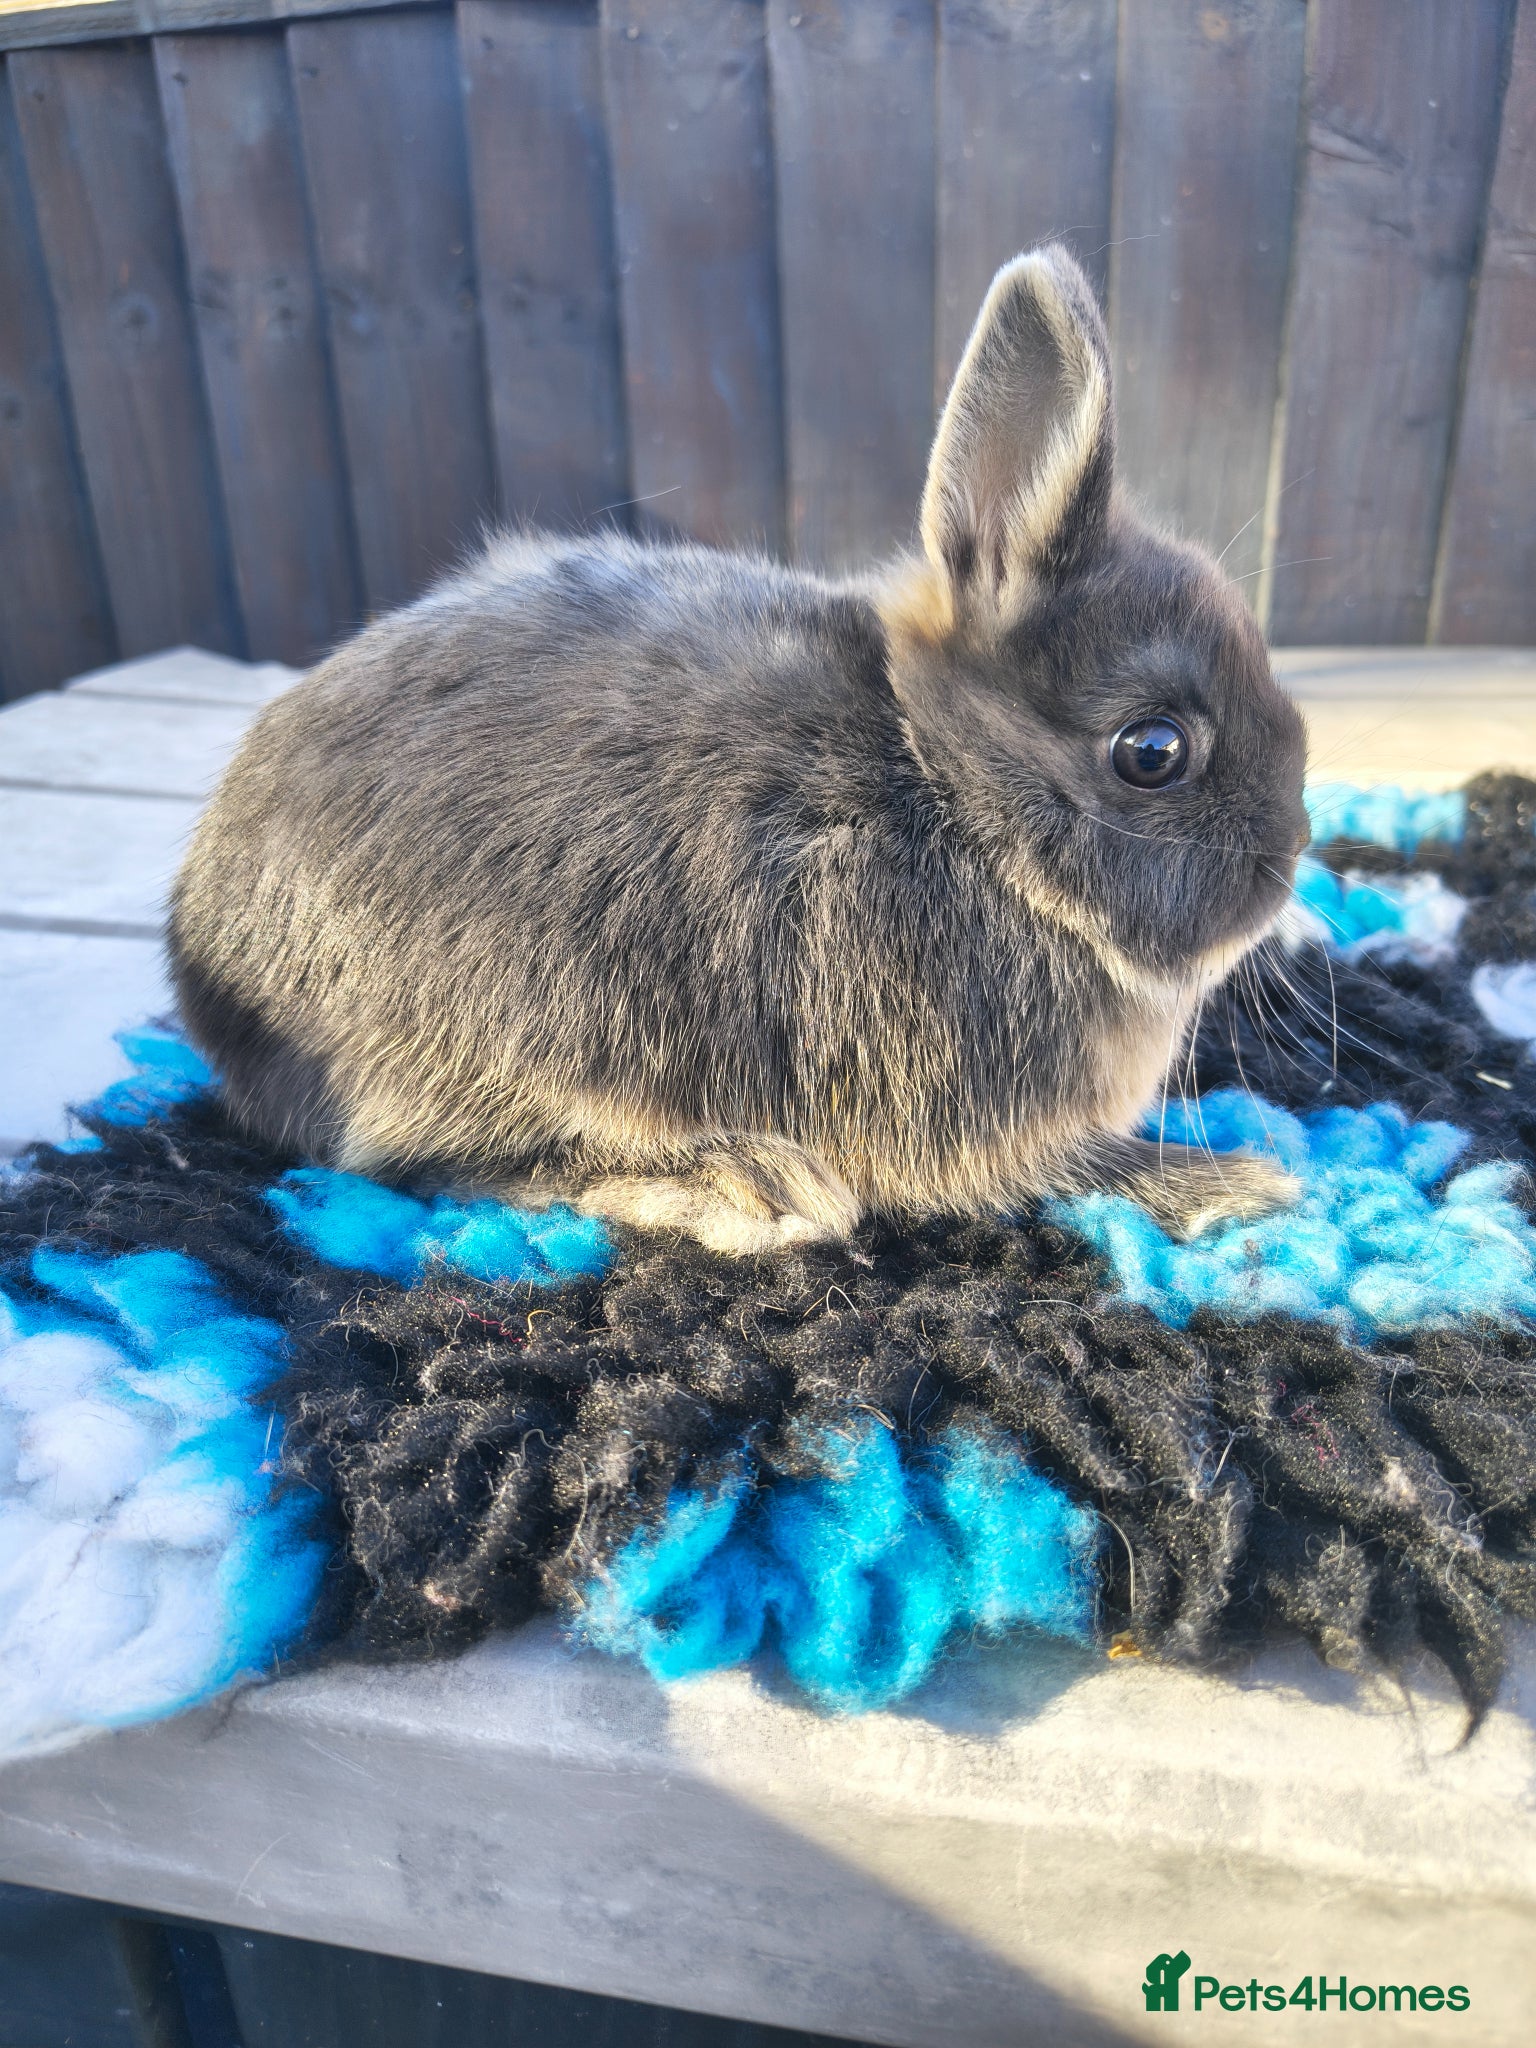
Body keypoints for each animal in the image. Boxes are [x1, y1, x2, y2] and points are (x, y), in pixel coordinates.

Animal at [169, 243, 1310, 1257]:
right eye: (1152, 750)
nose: (1291, 854)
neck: (943, 786)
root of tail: (205, 960)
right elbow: (1073, 1166)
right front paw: (1239, 1181)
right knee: (448, 1163)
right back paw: (746, 1185)